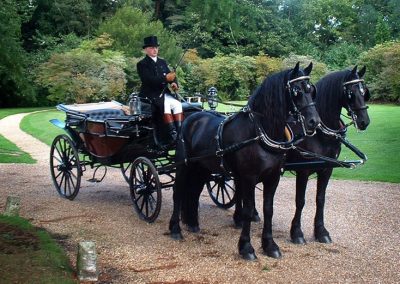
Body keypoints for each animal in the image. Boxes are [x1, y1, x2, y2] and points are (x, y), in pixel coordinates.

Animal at [169, 62, 322, 260]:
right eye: (296, 91)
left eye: (311, 90)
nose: (314, 122)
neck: (259, 132)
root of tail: (191, 117)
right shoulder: (249, 178)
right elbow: (248, 210)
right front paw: (246, 247)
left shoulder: (273, 178)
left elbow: (268, 209)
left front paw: (270, 245)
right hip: (184, 165)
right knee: (178, 191)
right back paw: (175, 228)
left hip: (202, 167)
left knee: (194, 191)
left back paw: (193, 223)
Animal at [288, 66, 368, 244]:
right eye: (350, 92)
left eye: (364, 91)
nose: (364, 121)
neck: (320, 133)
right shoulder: (303, 171)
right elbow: (300, 201)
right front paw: (296, 232)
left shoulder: (327, 169)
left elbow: (320, 199)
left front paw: (321, 231)